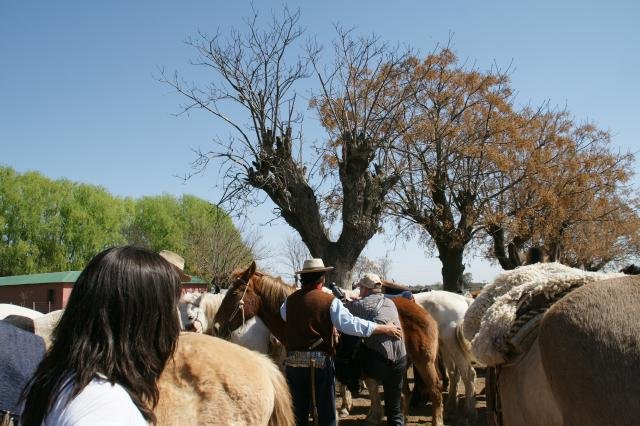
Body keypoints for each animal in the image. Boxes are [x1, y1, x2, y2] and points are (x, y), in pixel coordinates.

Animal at [215, 262, 444, 426]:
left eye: (235, 293)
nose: (216, 326)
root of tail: (425, 313)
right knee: (403, 393)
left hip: (424, 362)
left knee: (435, 389)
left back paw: (436, 421)